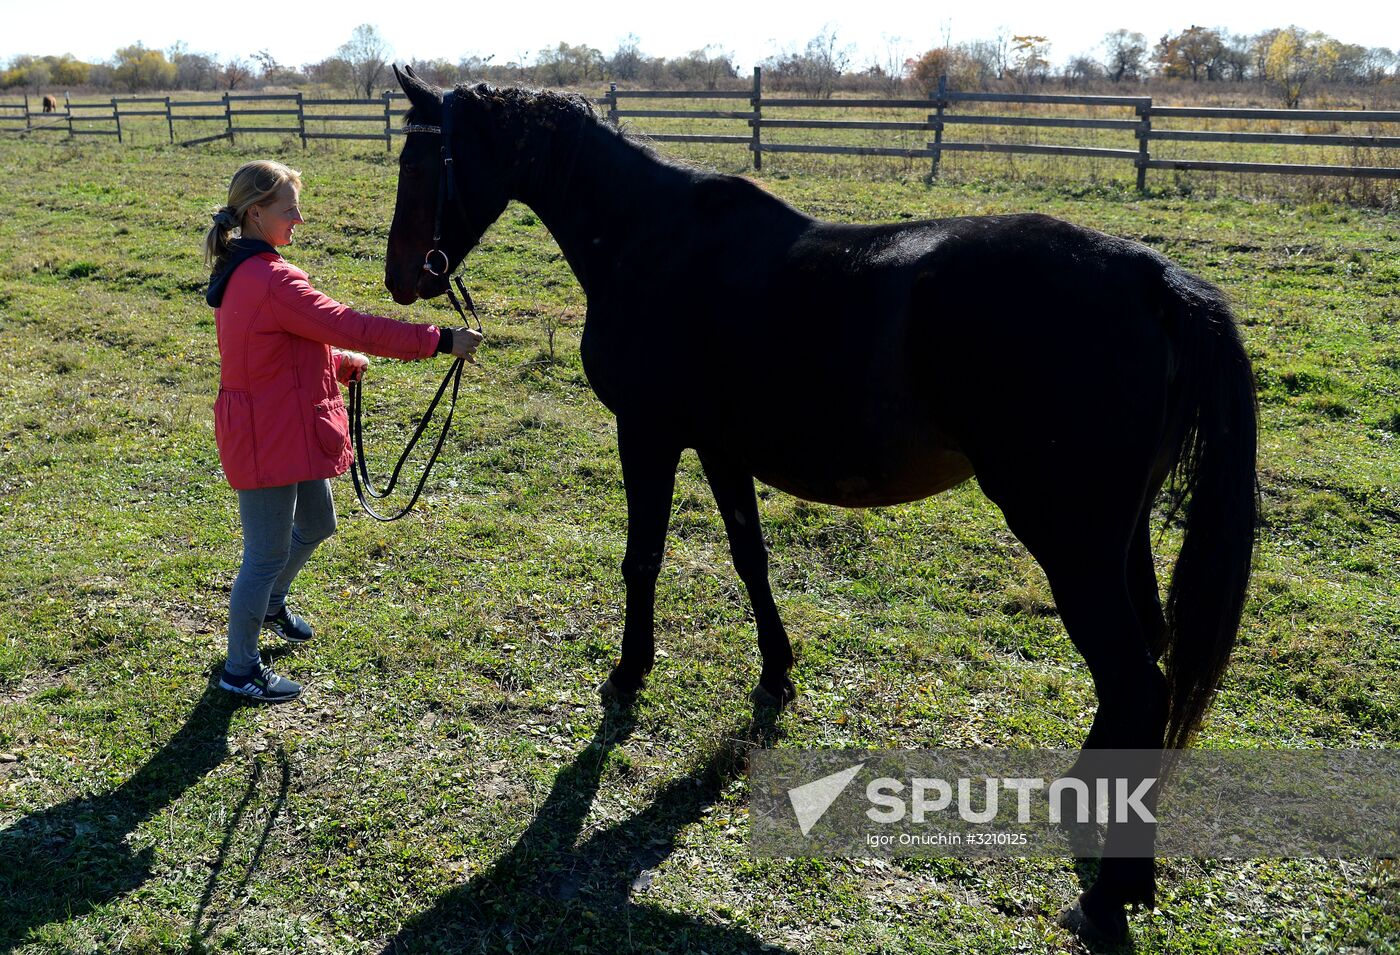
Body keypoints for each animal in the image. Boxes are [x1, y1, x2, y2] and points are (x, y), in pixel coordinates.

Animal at [384, 66, 1258, 944]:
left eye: (419, 163)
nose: (401, 279)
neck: (650, 238)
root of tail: (1152, 278)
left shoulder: (648, 433)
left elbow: (644, 558)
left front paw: (630, 671)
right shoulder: (719, 447)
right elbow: (749, 555)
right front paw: (776, 671)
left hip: (1071, 538)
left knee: (1135, 681)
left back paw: (1111, 891)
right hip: (1118, 537)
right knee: (1145, 664)